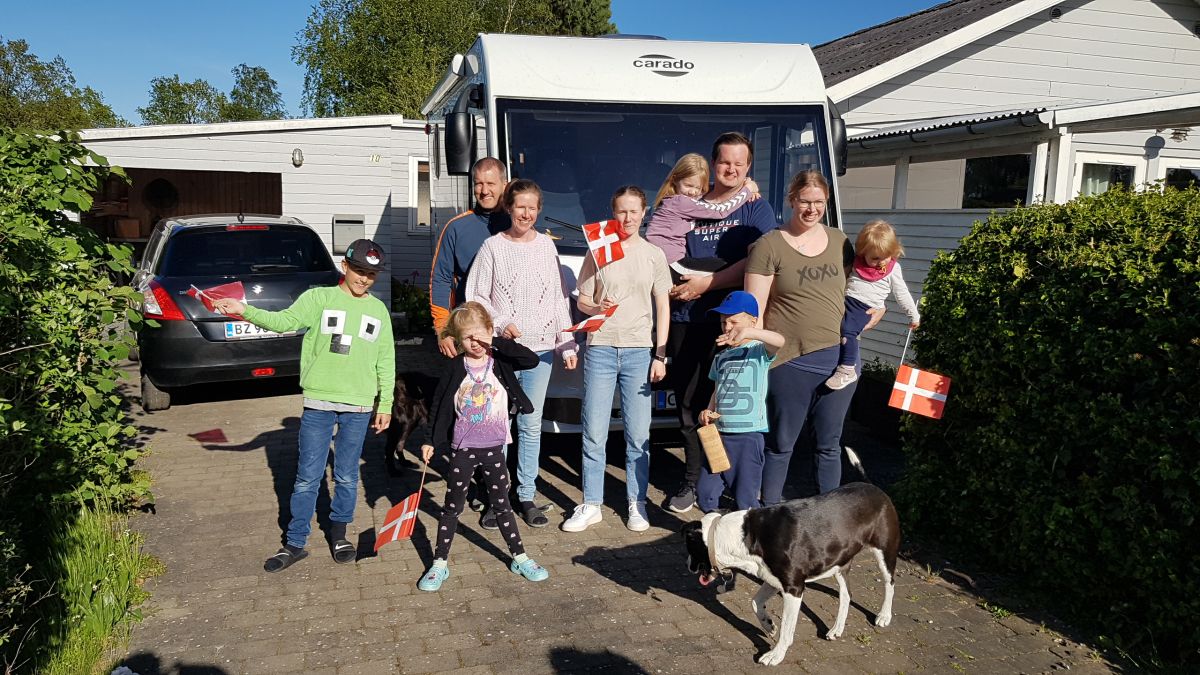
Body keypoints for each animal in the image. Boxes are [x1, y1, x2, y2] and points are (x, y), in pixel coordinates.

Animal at [681, 448, 900, 666]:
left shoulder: (794, 588)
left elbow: (787, 630)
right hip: (839, 562)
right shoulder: (773, 579)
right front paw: (768, 625)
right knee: (847, 594)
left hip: (884, 552)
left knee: (889, 583)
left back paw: (884, 616)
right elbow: (755, 602)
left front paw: (775, 655)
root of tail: (872, 487)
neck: (746, 536)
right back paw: (837, 629)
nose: (687, 565)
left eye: (689, 549)